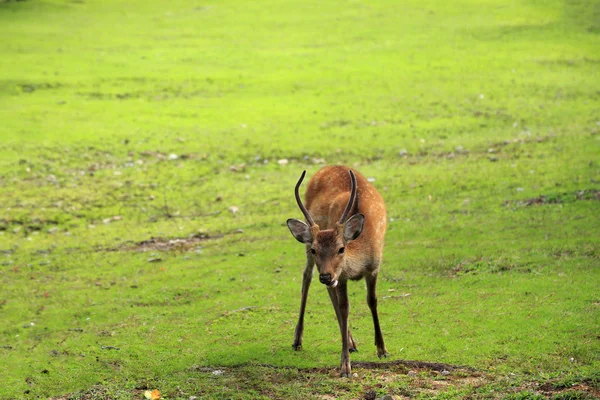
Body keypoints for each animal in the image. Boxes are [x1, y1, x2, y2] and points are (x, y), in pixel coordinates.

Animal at [288, 166, 390, 378]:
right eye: (315, 250)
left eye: (341, 248)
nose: (326, 276)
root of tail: (327, 167)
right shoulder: (341, 277)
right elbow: (344, 308)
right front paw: (345, 366)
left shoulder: (374, 267)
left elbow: (372, 301)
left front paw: (382, 349)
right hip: (311, 256)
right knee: (307, 277)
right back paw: (298, 339)